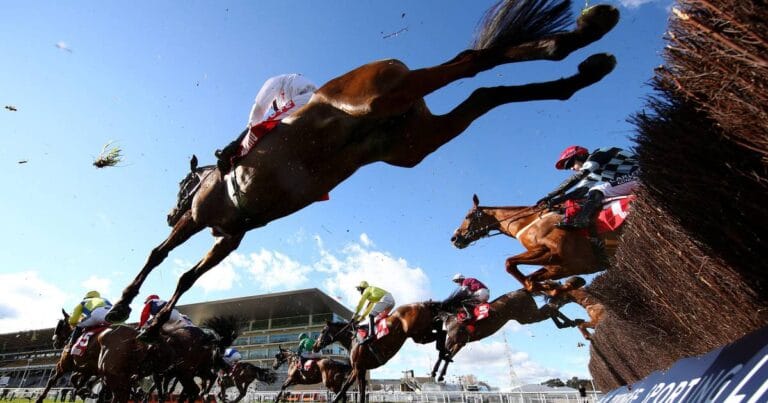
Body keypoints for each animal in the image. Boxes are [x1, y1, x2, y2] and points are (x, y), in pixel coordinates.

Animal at [451, 194, 621, 292]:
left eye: (467, 216)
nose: (454, 238)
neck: (529, 223)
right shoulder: (562, 267)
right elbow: (532, 277)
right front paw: (550, 286)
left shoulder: (558, 256)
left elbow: (509, 263)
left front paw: (542, 286)